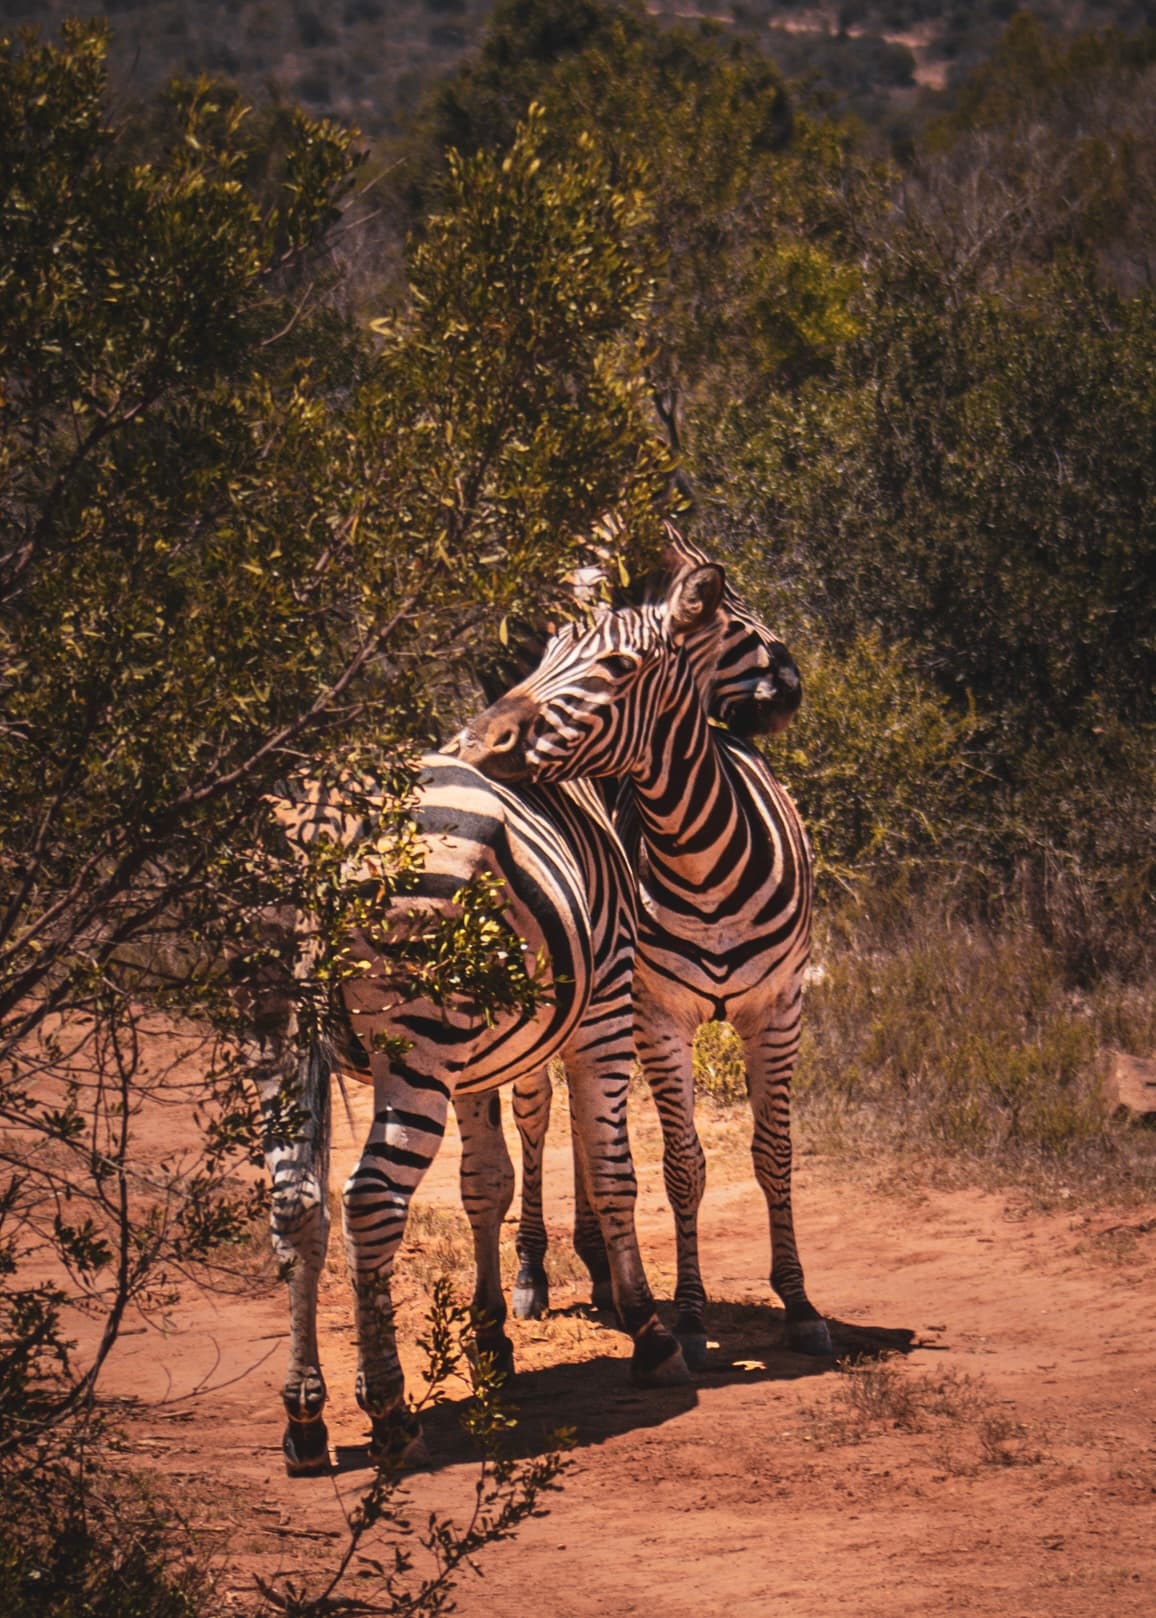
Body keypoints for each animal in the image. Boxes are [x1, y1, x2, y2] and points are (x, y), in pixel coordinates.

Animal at [246, 557, 734, 1475]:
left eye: (614, 666)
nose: (486, 743)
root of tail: (327, 812)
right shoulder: (603, 1015)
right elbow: (613, 1171)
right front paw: (651, 1334)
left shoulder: (475, 1064)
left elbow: (487, 1185)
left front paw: (493, 1345)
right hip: (415, 1041)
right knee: (370, 1200)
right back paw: (389, 1410)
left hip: (276, 1029)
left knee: (297, 1201)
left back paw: (304, 1417)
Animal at [467, 533, 833, 1369]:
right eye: (547, 653)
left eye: (616, 666)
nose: (482, 739)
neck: (704, 859)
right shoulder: (661, 1017)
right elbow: (684, 1165)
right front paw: (691, 1318)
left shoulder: (778, 1009)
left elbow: (773, 1151)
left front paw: (799, 1304)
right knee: (538, 1116)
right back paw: (535, 1271)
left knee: (586, 1113)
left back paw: (602, 1266)